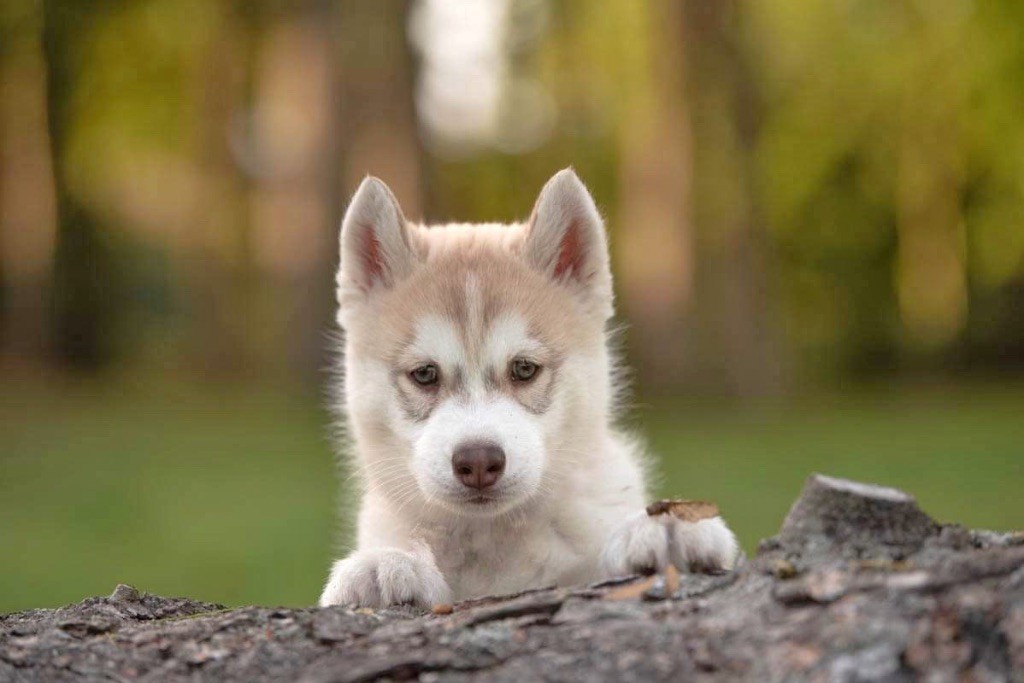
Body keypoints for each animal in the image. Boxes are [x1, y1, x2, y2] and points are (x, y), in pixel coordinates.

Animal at [319, 169, 737, 610]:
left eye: (523, 368)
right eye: (425, 374)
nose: (478, 462)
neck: (494, 538)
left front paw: (664, 527)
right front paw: (385, 563)